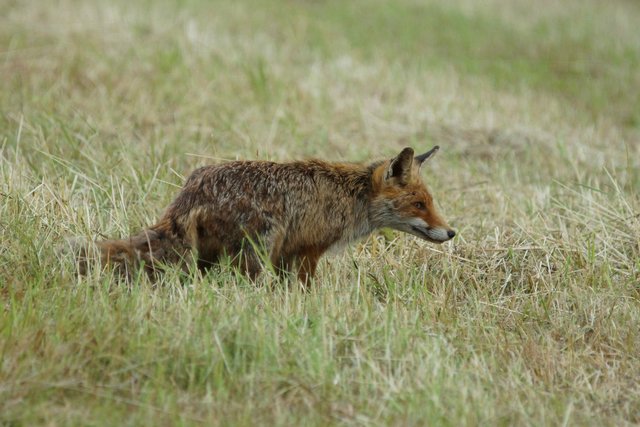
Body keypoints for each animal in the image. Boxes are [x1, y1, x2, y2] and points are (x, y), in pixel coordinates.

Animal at [72, 146, 456, 283]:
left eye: (429, 201)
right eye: (419, 205)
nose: (451, 232)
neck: (349, 196)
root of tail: (191, 191)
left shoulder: (288, 254)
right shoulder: (306, 251)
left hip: (209, 256)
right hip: (257, 250)